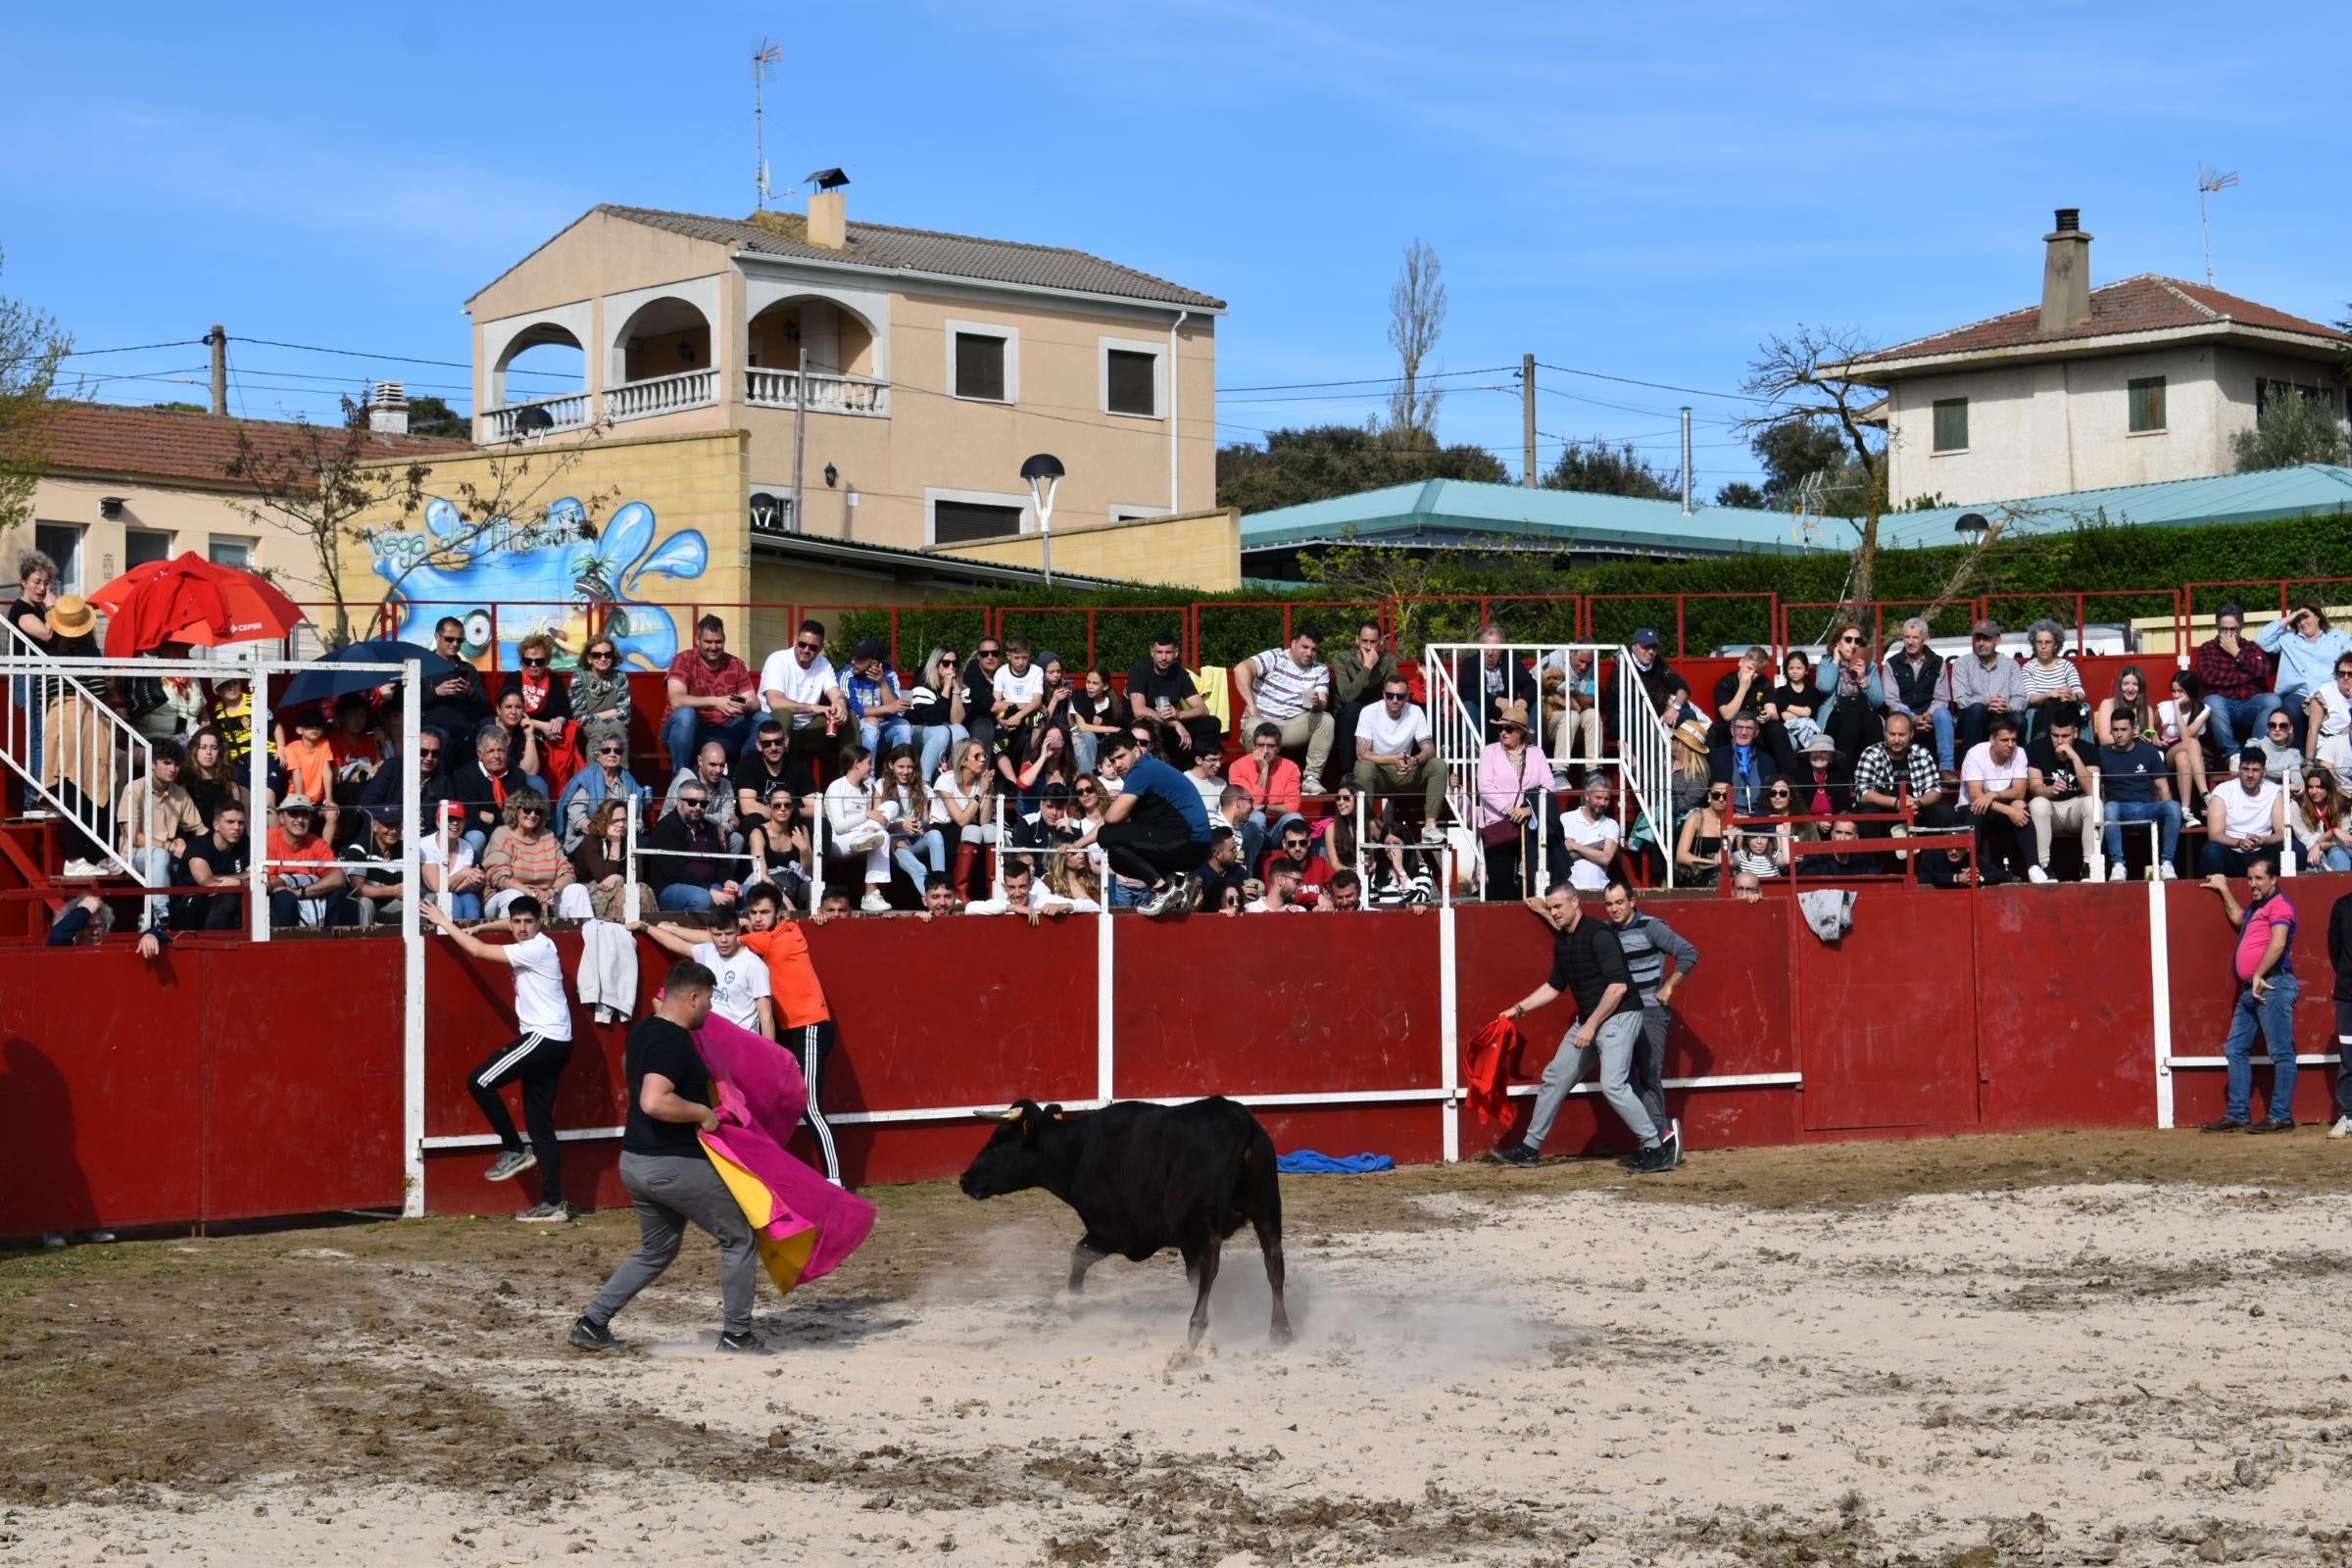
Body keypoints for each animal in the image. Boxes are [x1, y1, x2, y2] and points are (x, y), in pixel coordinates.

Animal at [955, 1091, 1298, 1353]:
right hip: (1268, 1210)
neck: (1077, 1151)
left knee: (1210, 1262)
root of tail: (1240, 1124)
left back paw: (1196, 1329)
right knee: (1273, 1262)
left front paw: (1074, 1307)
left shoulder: (1116, 1232)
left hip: (1192, 1220)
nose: (964, 1179)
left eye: (1000, 1140)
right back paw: (1280, 1330)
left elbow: (1078, 1255)